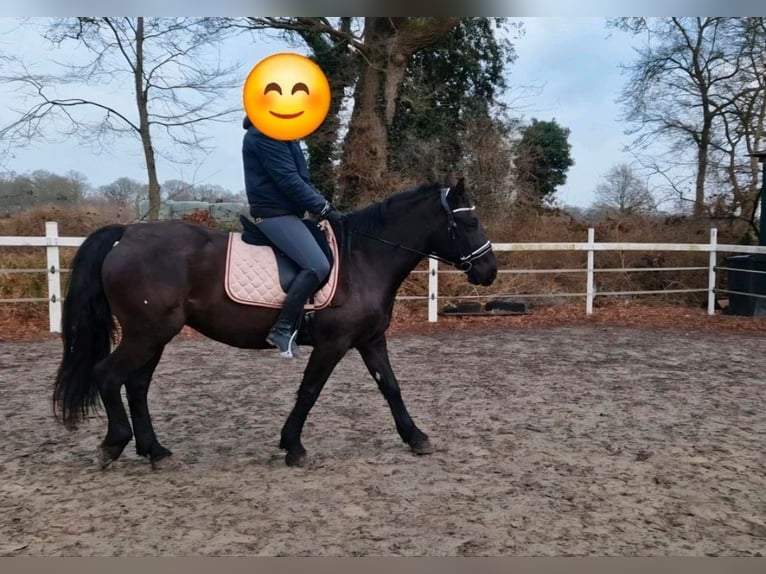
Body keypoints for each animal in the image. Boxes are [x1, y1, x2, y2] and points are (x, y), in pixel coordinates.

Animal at [53, 178, 498, 468]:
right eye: (470, 222)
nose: (489, 271)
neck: (366, 257)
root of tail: (125, 235)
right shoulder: (334, 343)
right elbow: (310, 391)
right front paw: (294, 447)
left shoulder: (370, 339)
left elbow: (390, 387)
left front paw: (416, 437)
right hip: (147, 333)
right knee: (108, 375)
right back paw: (114, 445)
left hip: (154, 335)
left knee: (137, 384)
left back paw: (155, 451)